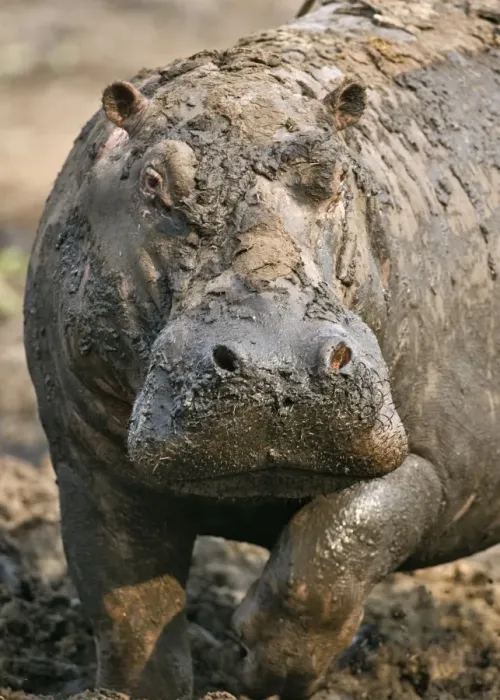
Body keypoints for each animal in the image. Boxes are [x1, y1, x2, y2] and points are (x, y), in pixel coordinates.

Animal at [24, 1, 500, 698]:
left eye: (337, 174)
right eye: (153, 180)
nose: (278, 369)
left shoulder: (443, 462)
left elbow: (336, 549)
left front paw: (255, 660)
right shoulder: (87, 466)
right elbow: (128, 608)